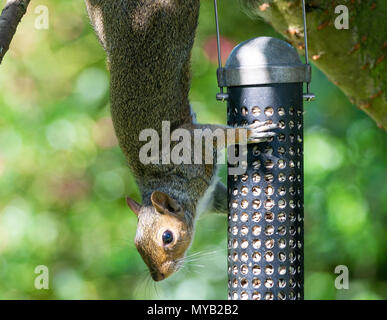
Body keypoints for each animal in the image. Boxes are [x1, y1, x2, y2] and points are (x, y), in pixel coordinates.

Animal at [85, 0, 274, 280]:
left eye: (167, 237)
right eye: (136, 245)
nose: (158, 277)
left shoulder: (192, 143)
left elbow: (220, 134)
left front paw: (249, 133)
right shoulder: (210, 197)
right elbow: (225, 200)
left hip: (172, 14)